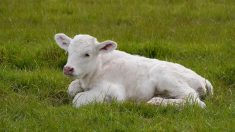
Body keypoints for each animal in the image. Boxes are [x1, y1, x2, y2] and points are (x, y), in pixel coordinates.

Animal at [54, 33, 213, 108]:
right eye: (68, 52)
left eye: (87, 54)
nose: (68, 69)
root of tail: (203, 79)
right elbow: (72, 88)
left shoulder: (113, 90)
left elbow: (77, 99)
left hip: (168, 78)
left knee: (196, 101)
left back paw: (155, 102)